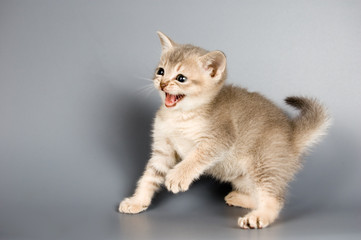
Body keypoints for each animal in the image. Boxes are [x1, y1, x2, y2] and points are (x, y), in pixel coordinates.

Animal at [119, 31, 330, 229]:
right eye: (161, 71)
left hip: (264, 164)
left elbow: (195, 158)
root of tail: (291, 135)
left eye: (181, 78)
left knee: (274, 198)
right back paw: (241, 199)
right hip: (243, 176)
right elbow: (149, 177)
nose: (162, 83)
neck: (181, 116)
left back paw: (258, 216)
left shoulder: (221, 138)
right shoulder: (163, 150)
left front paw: (178, 176)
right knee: (257, 195)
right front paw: (137, 201)